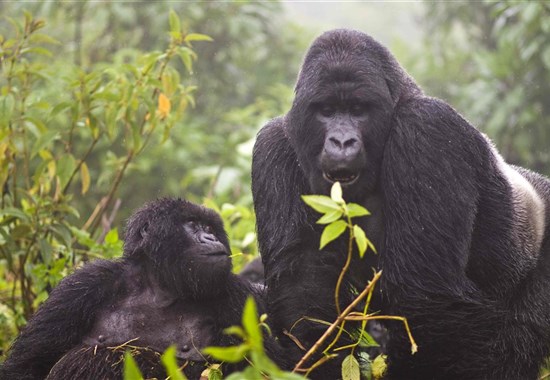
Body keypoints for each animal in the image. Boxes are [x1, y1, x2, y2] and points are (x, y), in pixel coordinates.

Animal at [0, 197, 284, 378]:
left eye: (210, 227)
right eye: (192, 225)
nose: (211, 237)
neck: (160, 288)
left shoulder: (236, 297)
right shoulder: (82, 287)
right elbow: (26, 366)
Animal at [256, 28, 550, 378]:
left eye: (359, 110)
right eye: (326, 110)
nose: (342, 141)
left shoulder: (426, 128)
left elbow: (427, 298)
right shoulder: (274, 144)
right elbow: (303, 290)